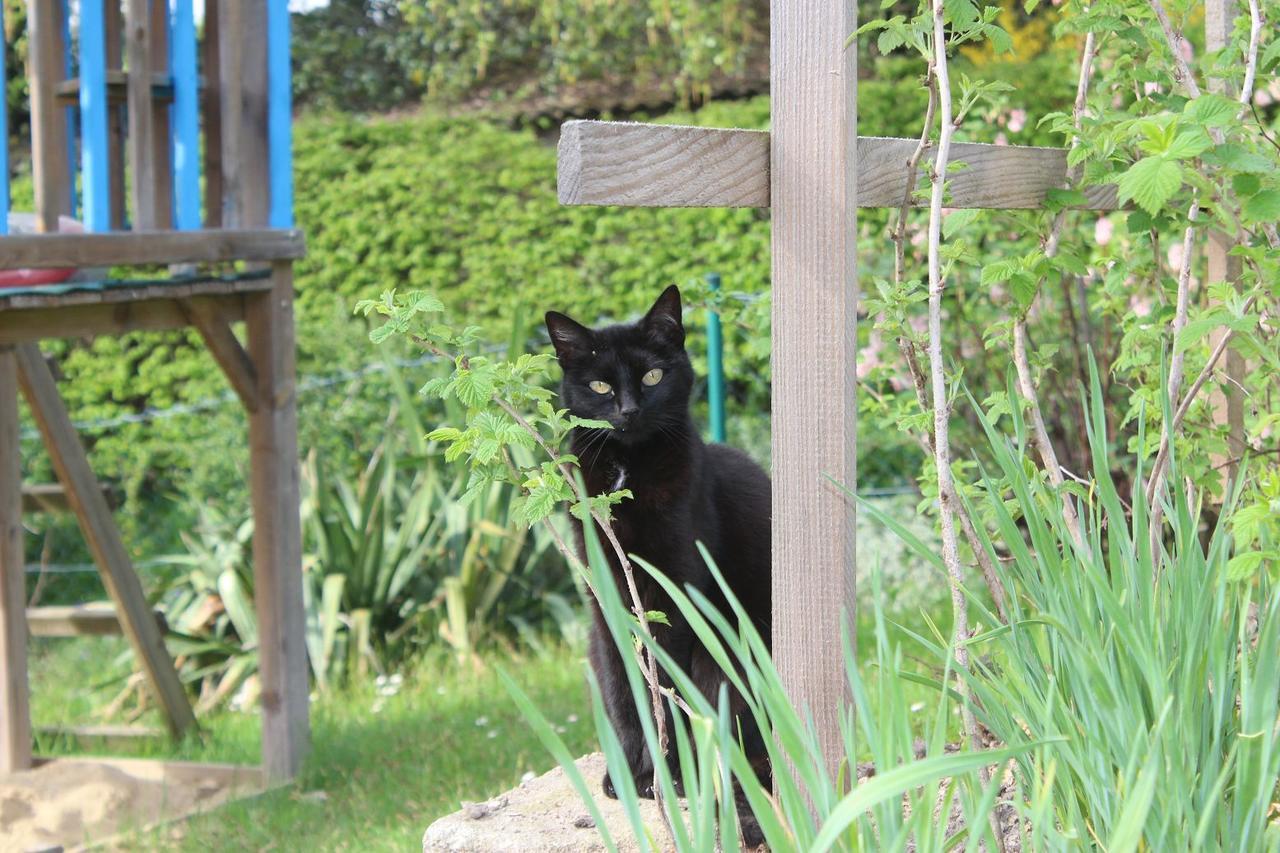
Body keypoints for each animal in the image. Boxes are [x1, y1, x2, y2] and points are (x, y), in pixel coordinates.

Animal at [542, 285, 768, 799]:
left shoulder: (675, 594)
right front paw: (630, 775)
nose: (628, 410)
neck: (628, 470)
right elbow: (624, 684)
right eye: (600, 387)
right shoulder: (606, 594)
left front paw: (669, 773)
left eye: (652, 375)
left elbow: (664, 684)